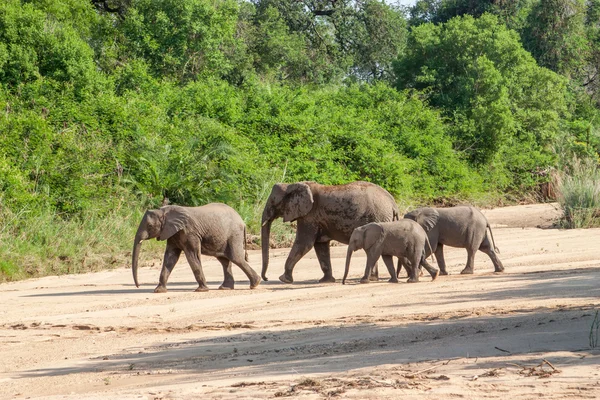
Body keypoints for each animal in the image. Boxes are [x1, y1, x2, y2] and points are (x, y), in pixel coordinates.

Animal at [132, 205, 262, 292]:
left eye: (149, 226)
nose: (138, 286)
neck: (164, 211)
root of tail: (243, 222)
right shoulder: (173, 233)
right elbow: (170, 258)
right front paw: (158, 291)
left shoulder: (190, 233)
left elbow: (193, 256)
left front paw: (202, 290)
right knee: (224, 260)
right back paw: (225, 288)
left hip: (234, 235)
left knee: (236, 257)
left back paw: (255, 284)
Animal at [262, 181, 398, 284]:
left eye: (273, 202)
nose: (266, 278)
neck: (291, 185)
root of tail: (393, 203)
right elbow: (320, 245)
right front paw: (325, 281)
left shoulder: (309, 216)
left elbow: (304, 243)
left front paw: (284, 279)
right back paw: (373, 279)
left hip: (378, 217)